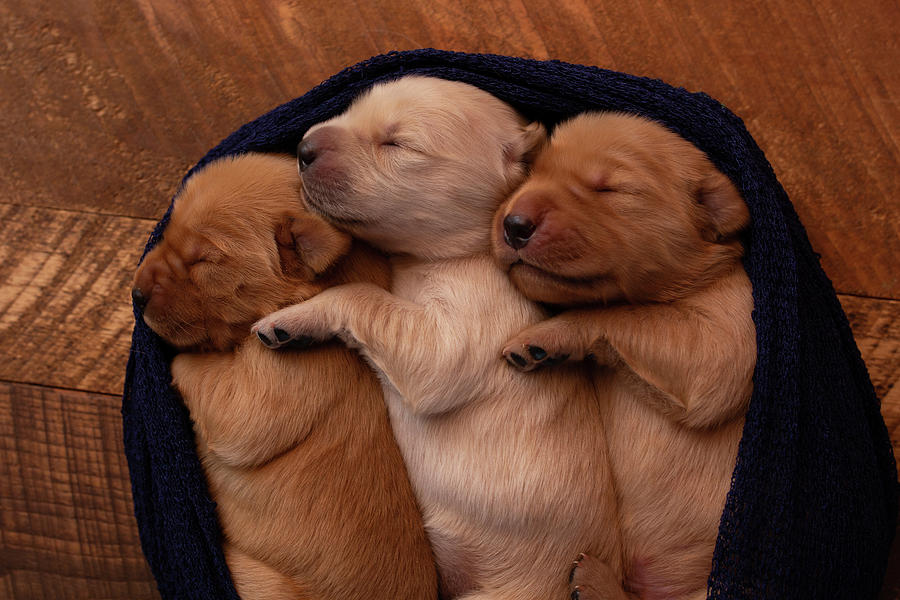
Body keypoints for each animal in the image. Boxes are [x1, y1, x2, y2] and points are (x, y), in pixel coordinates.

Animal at [129, 154, 436, 600]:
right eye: (166, 233)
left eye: (205, 260)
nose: (135, 294)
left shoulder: (264, 392)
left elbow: (198, 374)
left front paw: (181, 358)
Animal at [253, 78, 628, 600]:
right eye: (351, 112)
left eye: (398, 143)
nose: (303, 148)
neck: (453, 255)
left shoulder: (460, 332)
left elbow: (365, 297)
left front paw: (293, 315)